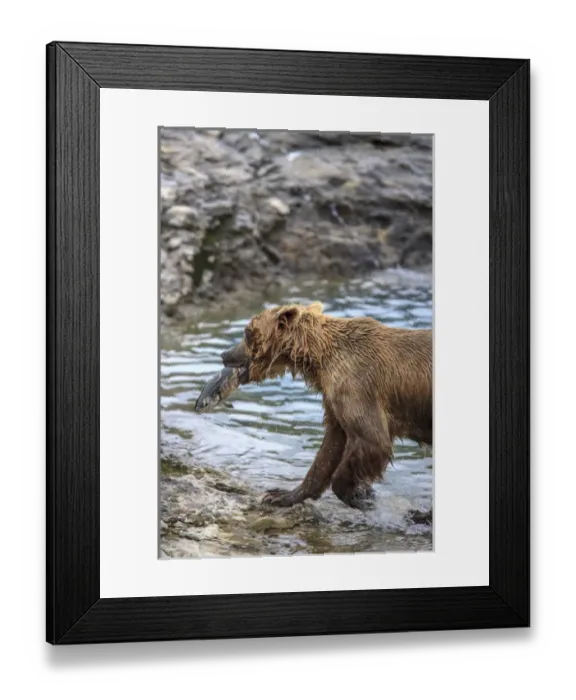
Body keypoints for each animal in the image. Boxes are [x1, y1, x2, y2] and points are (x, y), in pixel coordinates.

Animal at [221, 301, 432, 510]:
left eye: (248, 331)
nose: (225, 354)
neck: (318, 357)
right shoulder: (334, 398)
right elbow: (331, 447)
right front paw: (281, 494)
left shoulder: (357, 385)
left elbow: (373, 439)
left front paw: (359, 495)